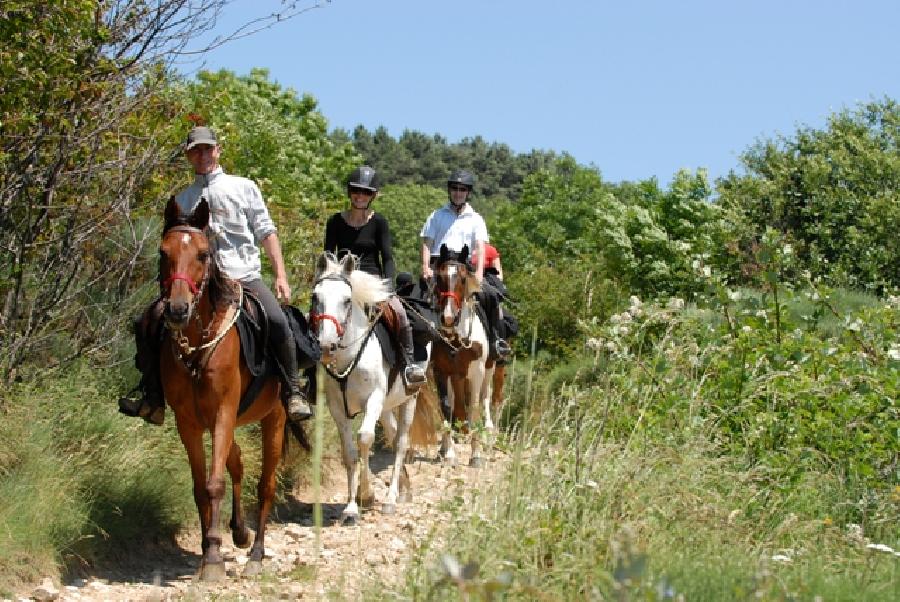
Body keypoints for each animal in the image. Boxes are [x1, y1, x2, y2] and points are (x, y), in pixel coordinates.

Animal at [157, 199, 306, 580]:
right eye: (163, 252)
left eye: (203, 254)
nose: (177, 309)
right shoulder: (188, 423)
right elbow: (201, 487)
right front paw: (209, 549)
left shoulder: (223, 412)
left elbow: (215, 483)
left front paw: (212, 561)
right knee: (237, 464)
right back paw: (239, 532)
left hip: (274, 419)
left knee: (266, 485)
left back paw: (255, 554)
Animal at [310, 251, 442, 524]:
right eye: (316, 297)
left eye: (346, 300)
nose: (326, 346)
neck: (349, 357)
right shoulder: (337, 408)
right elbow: (349, 452)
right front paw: (352, 506)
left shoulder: (373, 399)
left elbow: (365, 439)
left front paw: (367, 495)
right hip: (386, 406)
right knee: (392, 434)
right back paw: (404, 488)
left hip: (408, 399)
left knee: (401, 442)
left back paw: (391, 499)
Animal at [430, 241, 496, 466]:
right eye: (439, 278)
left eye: (463, 278)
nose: (448, 318)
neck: (456, 337)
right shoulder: (441, 371)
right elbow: (446, 406)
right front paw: (449, 452)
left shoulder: (476, 373)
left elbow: (473, 407)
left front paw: (476, 454)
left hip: (489, 369)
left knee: (485, 398)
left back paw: (488, 433)